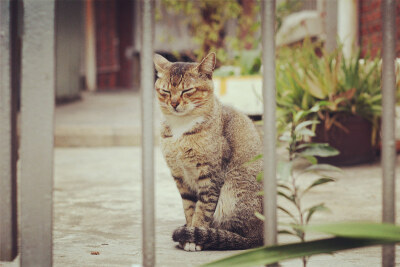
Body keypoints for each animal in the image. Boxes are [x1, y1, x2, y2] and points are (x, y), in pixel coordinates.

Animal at [152, 52, 262, 253]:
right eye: (166, 91)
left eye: (187, 91)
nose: (173, 103)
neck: (181, 127)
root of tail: (261, 233)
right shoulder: (181, 177)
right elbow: (189, 208)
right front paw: (189, 232)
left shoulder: (210, 176)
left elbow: (203, 210)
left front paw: (194, 238)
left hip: (232, 193)